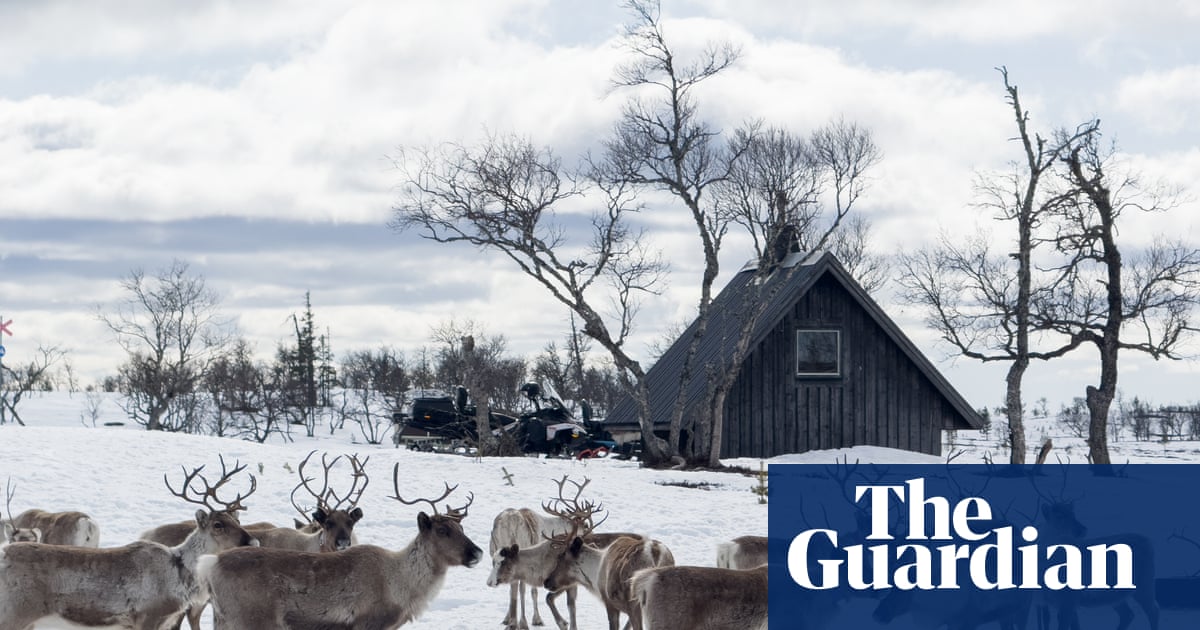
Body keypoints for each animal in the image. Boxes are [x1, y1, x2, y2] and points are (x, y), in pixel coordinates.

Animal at [0, 456, 259, 630]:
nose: (253, 541)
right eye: (218, 524)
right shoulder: (147, 616)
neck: (179, 575)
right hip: (14, 613)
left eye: (237, 520)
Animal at [198, 463, 483, 629]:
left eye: (462, 529)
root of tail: (210, 564)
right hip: (248, 619)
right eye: (442, 530)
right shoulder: (367, 624)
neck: (402, 585)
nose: (477, 552)